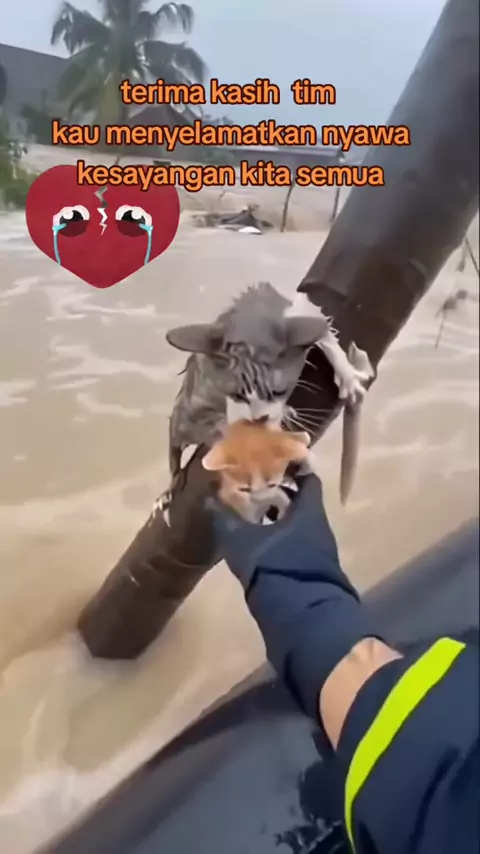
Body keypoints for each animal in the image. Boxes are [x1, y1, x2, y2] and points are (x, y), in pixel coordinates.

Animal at [166, 282, 373, 488]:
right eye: (238, 395)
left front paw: (348, 377)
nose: (260, 418)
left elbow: (325, 333)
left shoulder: (300, 311)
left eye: (278, 391)